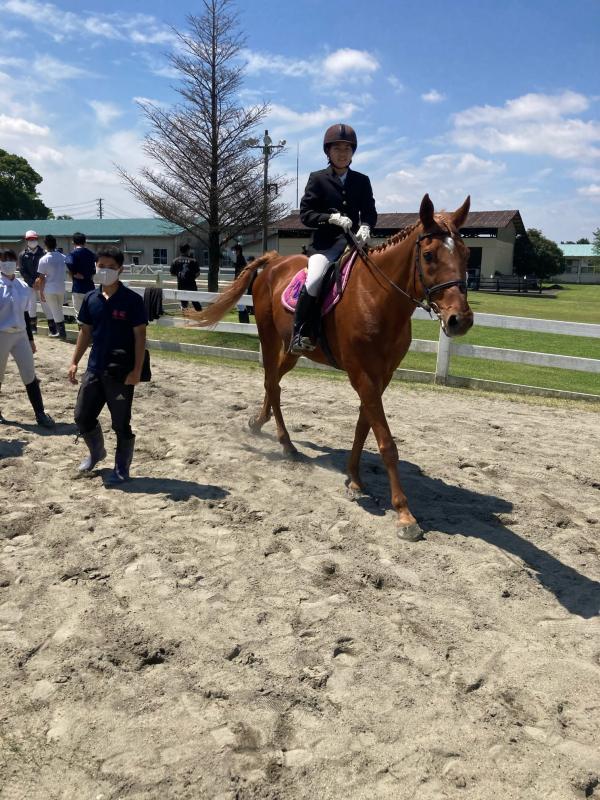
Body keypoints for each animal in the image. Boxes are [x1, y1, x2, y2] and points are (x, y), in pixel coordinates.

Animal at [191, 194, 473, 541]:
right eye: (430, 255)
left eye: (466, 254)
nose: (460, 320)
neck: (378, 298)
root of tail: (274, 261)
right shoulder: (363, 375)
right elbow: (386, 443)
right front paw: (404, 514)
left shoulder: (381, 377)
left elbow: (363, 428)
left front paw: (354, 478)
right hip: (268, 338)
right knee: (271, 383)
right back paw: (286, 444)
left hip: (292, 350)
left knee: (275, 383)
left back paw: (259, 422)